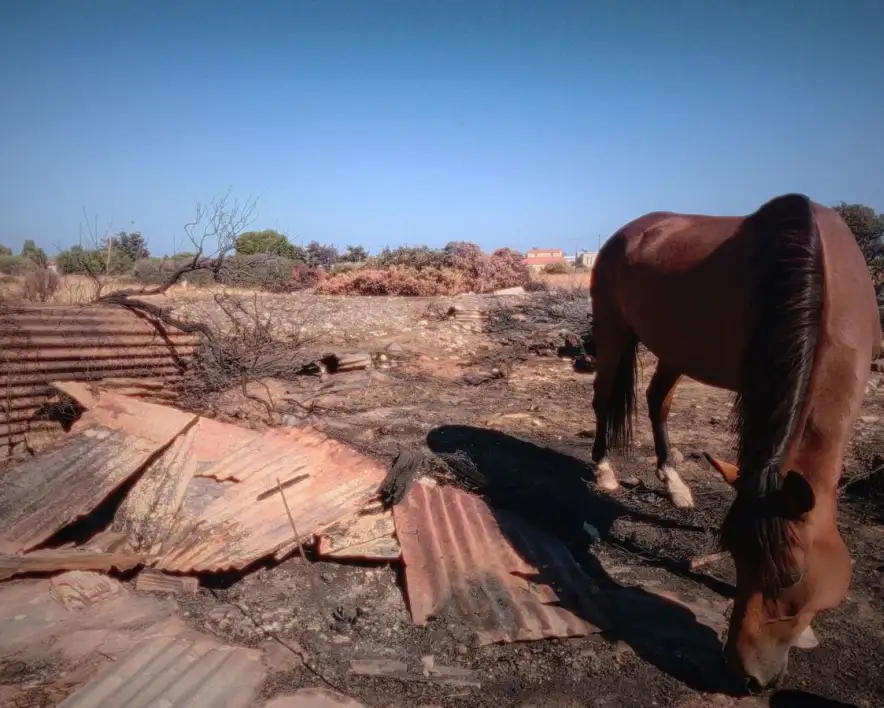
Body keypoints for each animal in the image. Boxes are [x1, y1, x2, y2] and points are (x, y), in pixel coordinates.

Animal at [588, 193, 881, 691]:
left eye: (792, 575)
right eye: (735, 560)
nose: (745, 675)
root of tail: (625, 233)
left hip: (675, 347)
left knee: (656, 400)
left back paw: (674, 484)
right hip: (612, 330)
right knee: (604, 397)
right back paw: (605, 471)